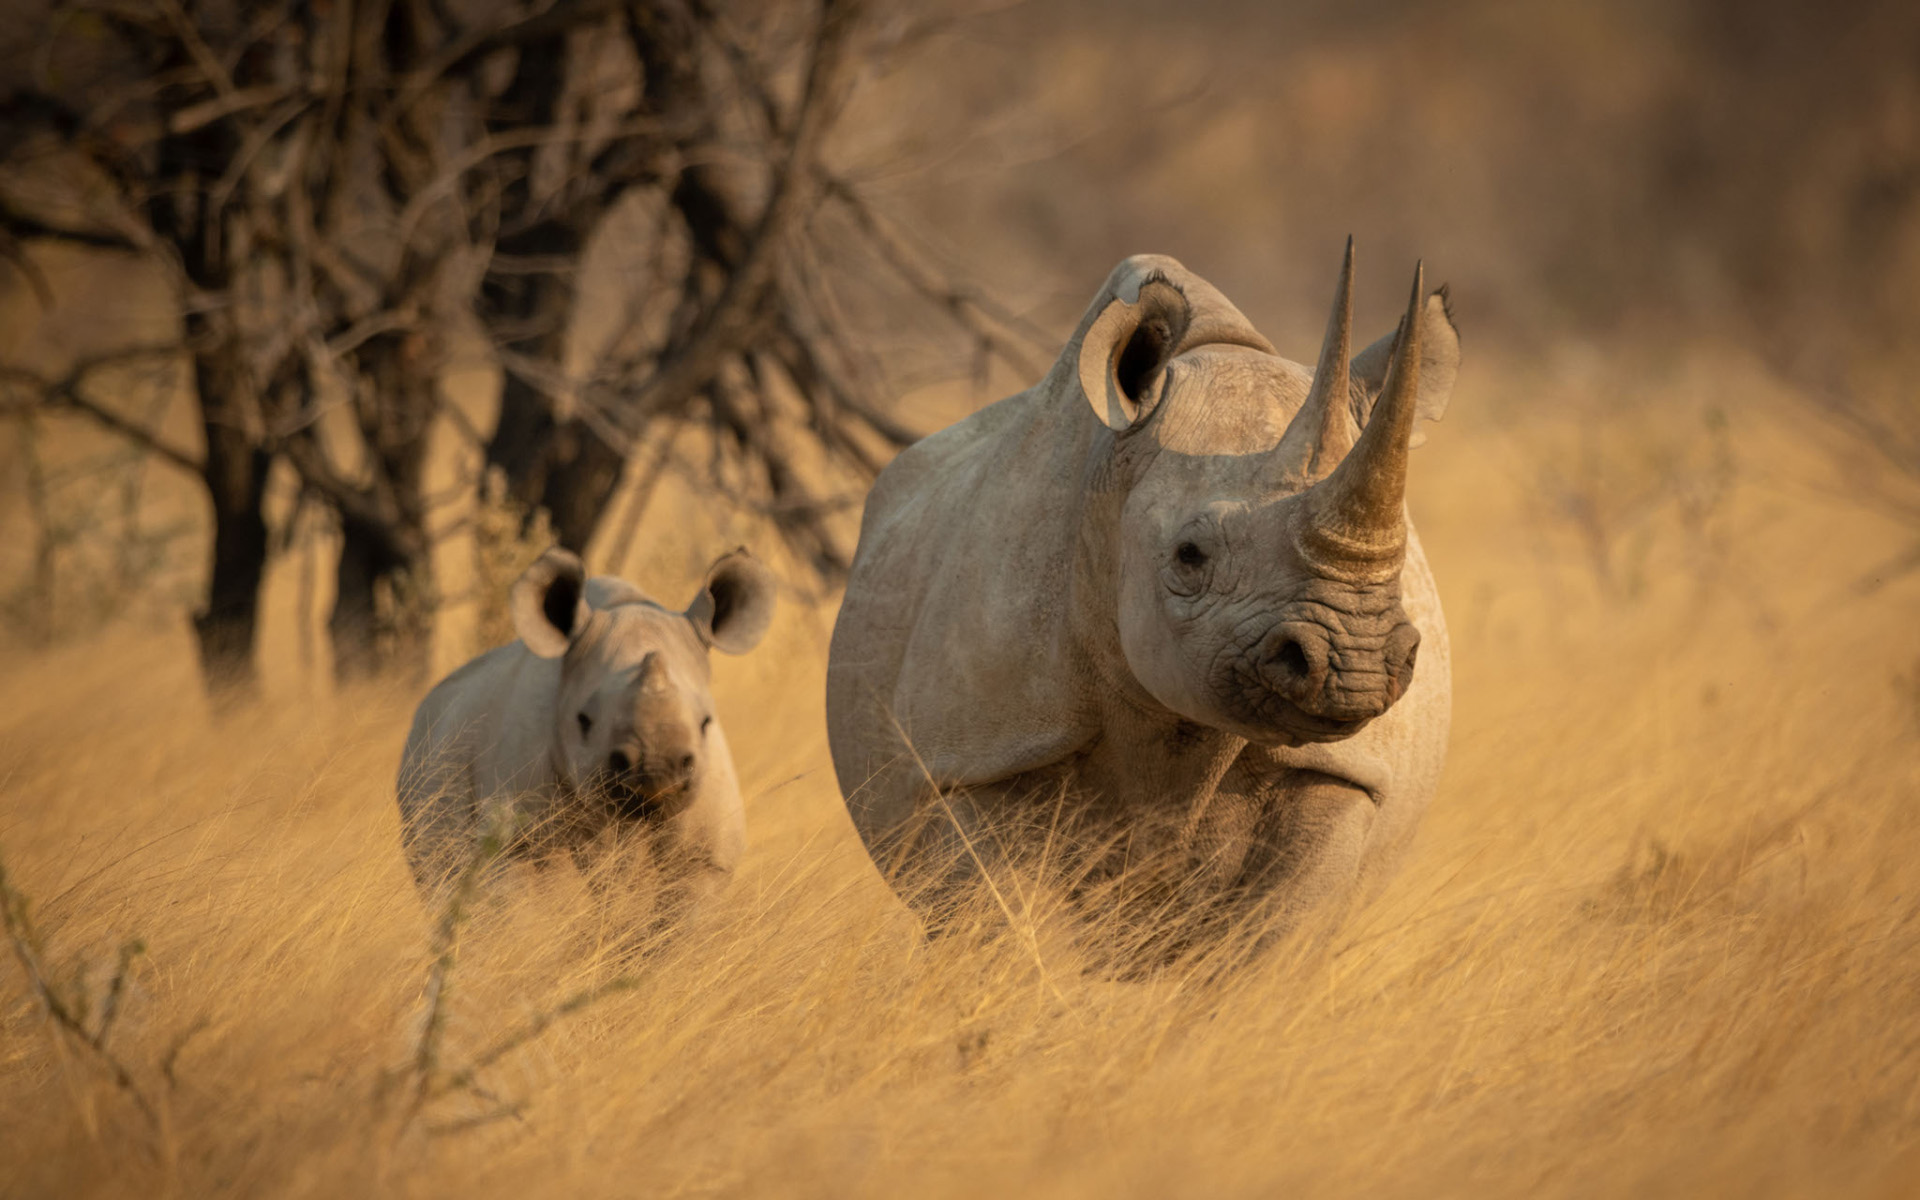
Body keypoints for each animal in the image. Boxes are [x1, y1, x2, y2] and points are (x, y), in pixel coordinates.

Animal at [821, 247, 1451, 960]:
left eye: (1402, 559)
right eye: (1189, 556)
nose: (1357, 663)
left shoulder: (1343, 773)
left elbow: (1277, 939)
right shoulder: (978, 755)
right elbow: (1001, 929)